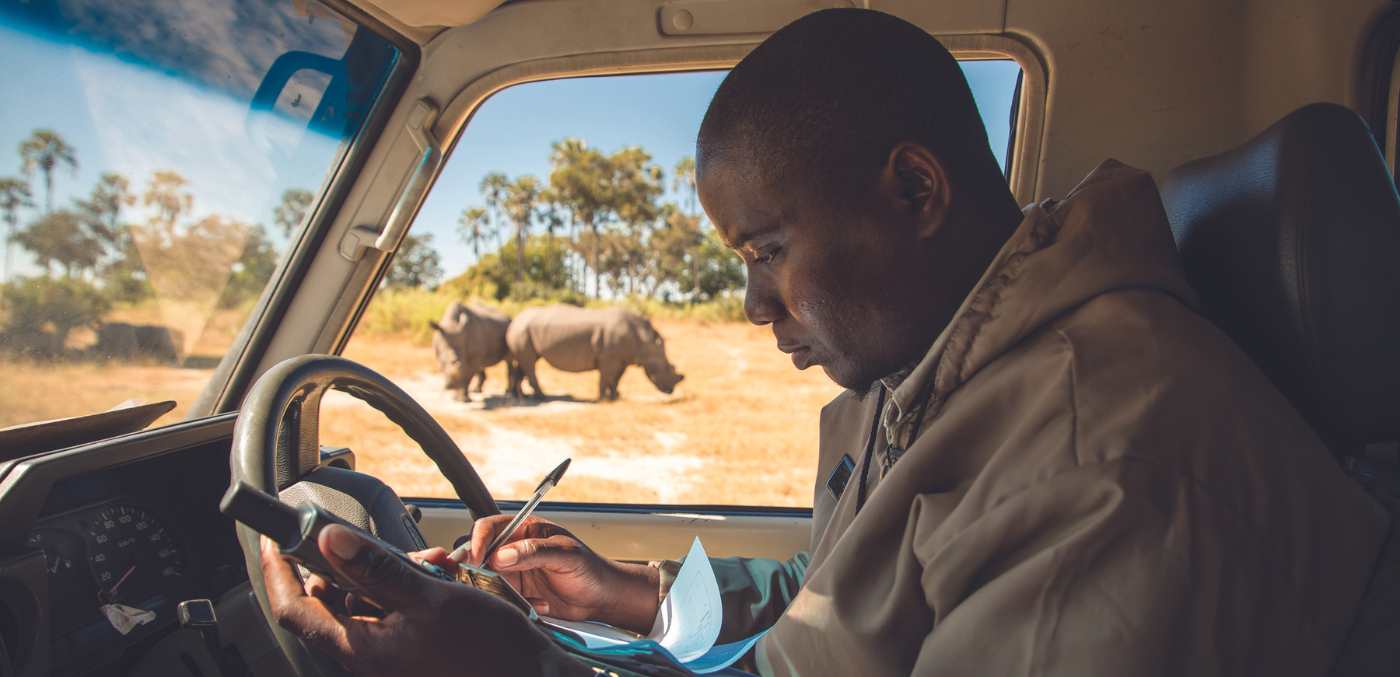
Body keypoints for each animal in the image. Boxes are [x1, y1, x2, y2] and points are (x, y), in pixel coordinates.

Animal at [505, 305, 684, 401]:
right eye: (667, 368)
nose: (670, 391)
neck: (645, 342)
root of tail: (515, 320)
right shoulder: (609, 358)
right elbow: (605, 378)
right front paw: (603, 399)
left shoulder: (622, 359)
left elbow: (616, 379)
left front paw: (616, 397)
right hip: (522, 330)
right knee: (530, 364)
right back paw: (542, 397)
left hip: (524, 331)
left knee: (527, 361)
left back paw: (521, 397)